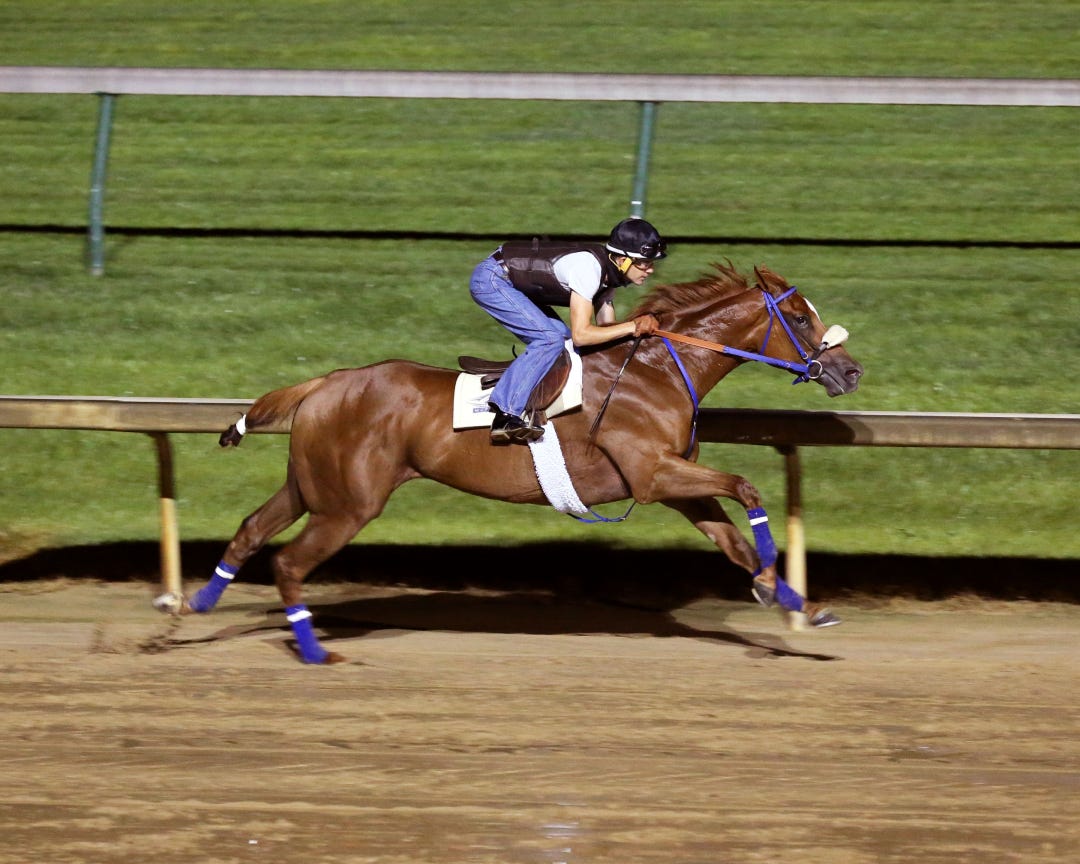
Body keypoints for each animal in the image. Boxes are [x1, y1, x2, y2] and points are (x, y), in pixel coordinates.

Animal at [154, 261, 863, 664]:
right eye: (799, 316)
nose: (851, 370)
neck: (659, 370)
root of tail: (326, 382)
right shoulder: (651, 474)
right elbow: (747, 487)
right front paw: (779, 586)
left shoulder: (673, 483)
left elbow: (734, 536)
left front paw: (795, 600)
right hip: (350, 503)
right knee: (290, 562)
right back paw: (310, 652)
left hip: (310, 485)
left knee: (250, 531)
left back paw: (189, 611)